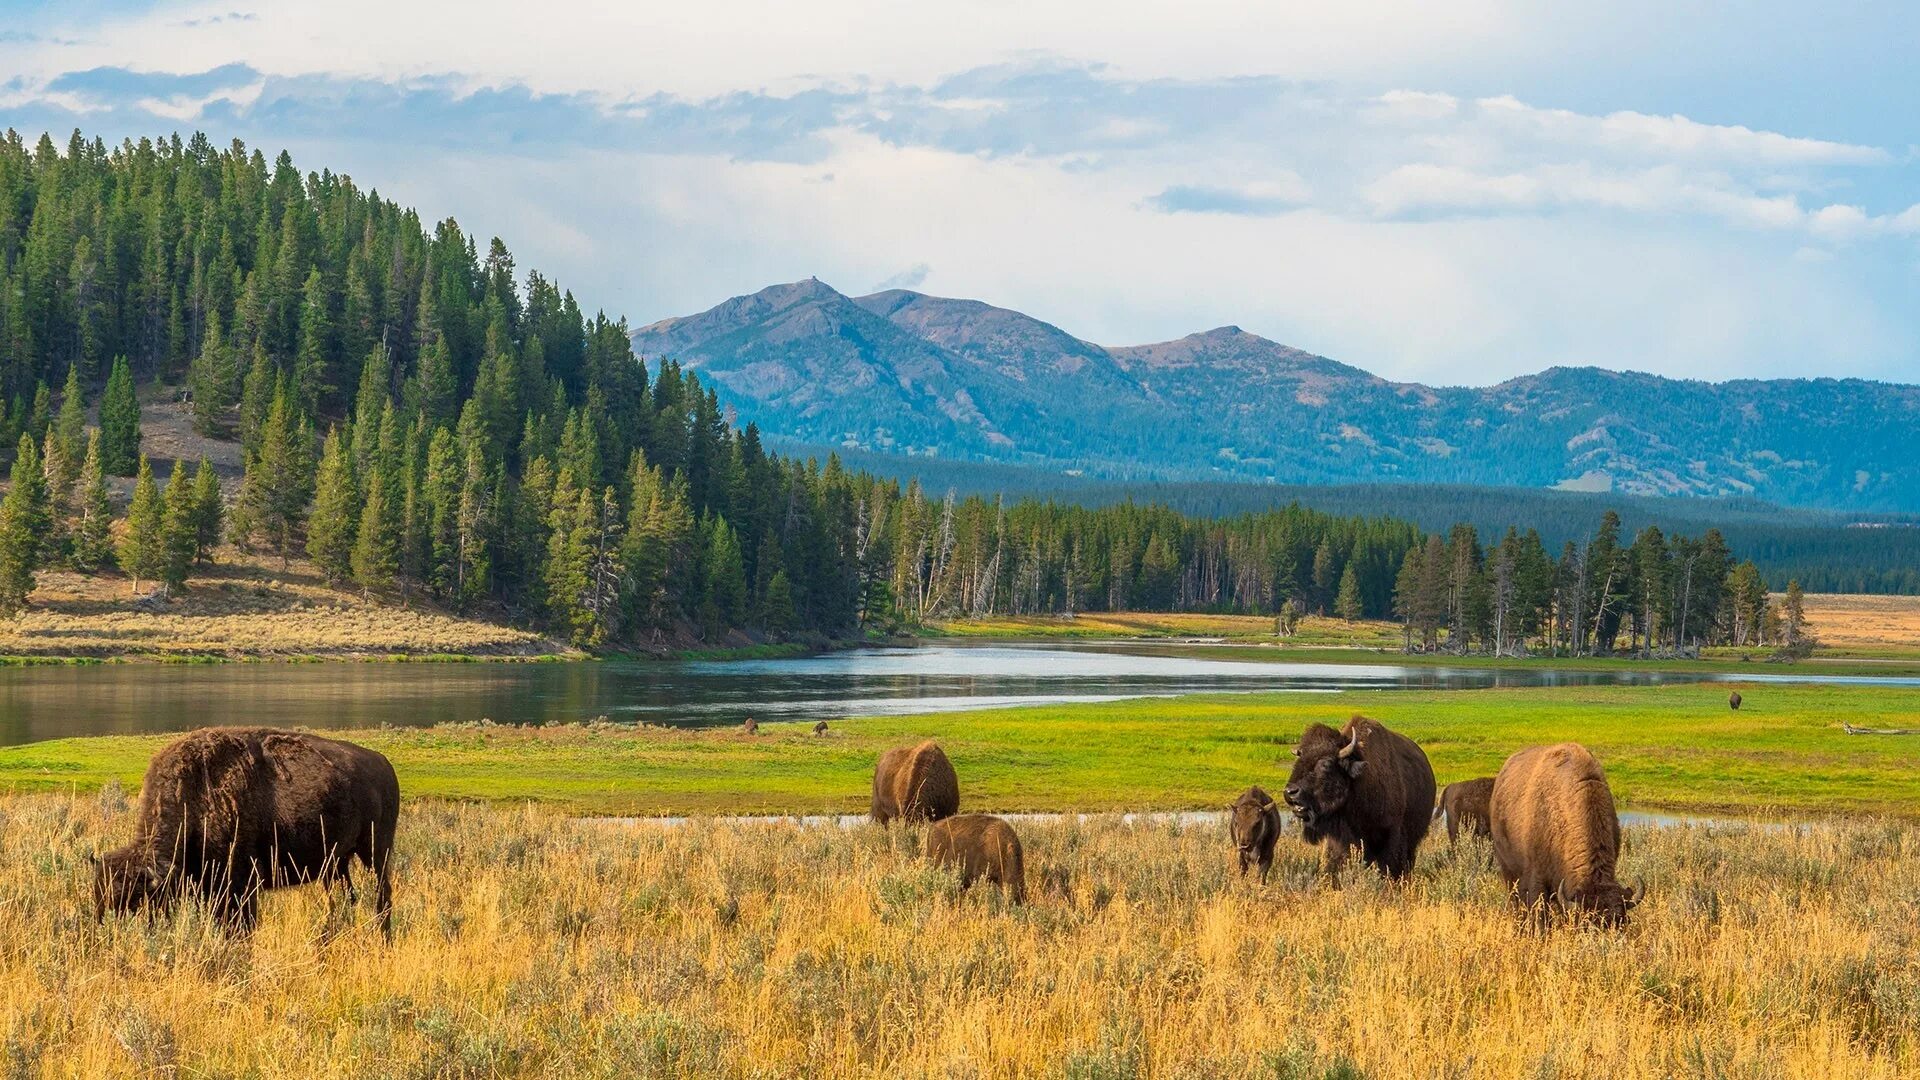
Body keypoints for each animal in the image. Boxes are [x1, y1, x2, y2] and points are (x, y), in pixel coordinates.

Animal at [96, 722, 401, 933]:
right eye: (99, 896)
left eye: (135, 901)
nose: (107, 930)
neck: (195, 796)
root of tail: (383, 763)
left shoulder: (241, 885)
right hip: (336, 863)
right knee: (345, 898)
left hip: (375, 852)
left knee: (381, 896)